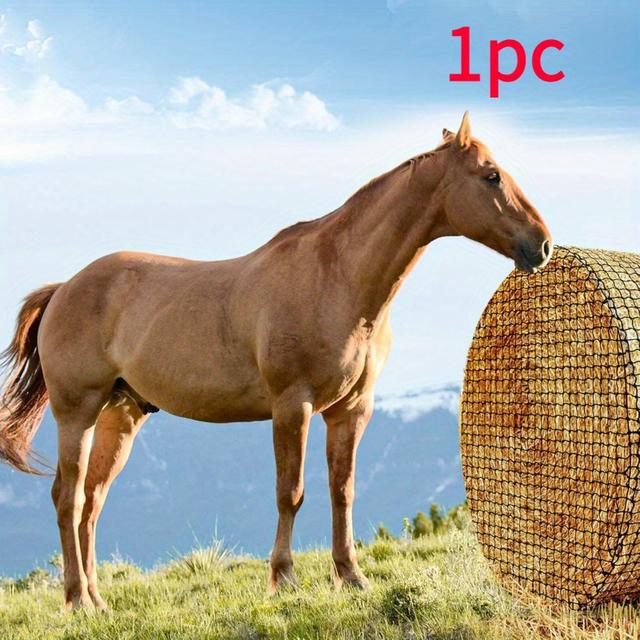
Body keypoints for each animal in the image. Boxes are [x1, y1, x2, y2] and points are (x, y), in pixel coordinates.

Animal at [0, 113, 552, 611]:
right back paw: (76, 600)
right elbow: (292, 491)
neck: (337, 277)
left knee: (92, 502)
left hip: (122, 415)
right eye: (491, 175)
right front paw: (283, 581)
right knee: (68, 498)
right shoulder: (293, 405)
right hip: (78, 412)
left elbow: (342, 491)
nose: (542, 244)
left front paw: (351, 577)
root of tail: (64, 288)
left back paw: (97, 600)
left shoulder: (352, 409)